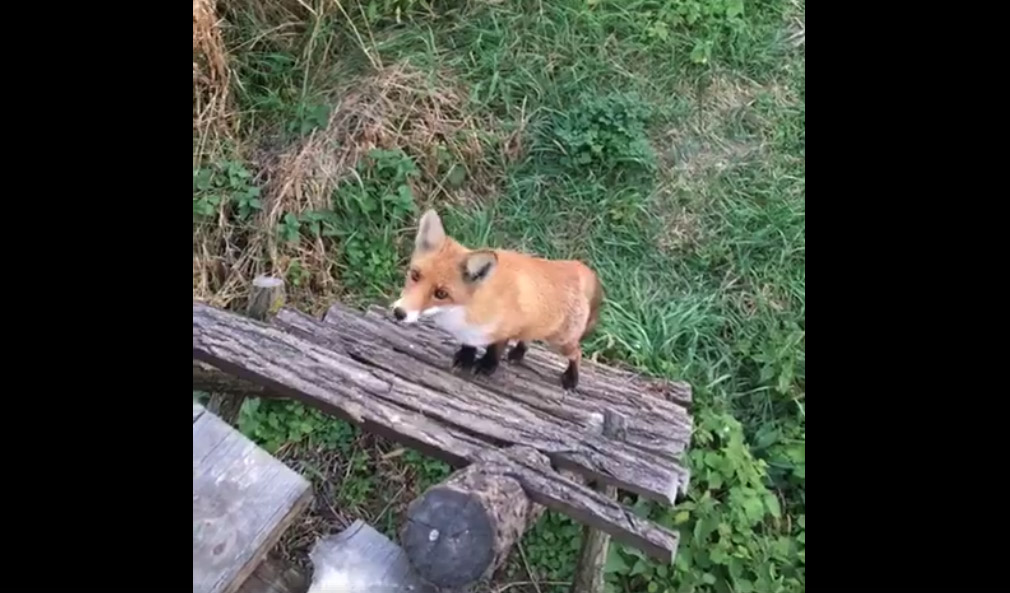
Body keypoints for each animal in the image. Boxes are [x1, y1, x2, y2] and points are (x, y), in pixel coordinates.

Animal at [389, 206, 601, 391]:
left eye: (441, 294)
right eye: (415, 275)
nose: (399, 313)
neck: (461, 312)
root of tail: (577, 266)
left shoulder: (506, 328)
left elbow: (495, 350)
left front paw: (486, 367)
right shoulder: (470, 332)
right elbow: (469, 345)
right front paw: (465, 359)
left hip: (560, 342)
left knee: (577, 353)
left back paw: (572, 378)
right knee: (528, 338)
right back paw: (518, 353)